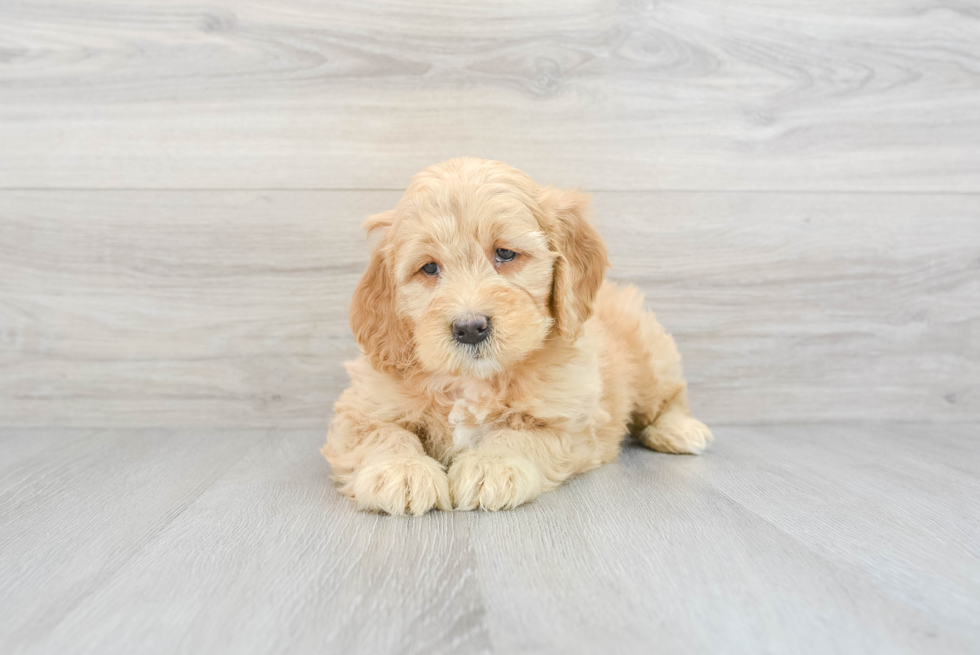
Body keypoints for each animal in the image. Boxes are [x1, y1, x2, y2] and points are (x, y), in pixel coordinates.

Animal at [322, 156, 712, 516]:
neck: (472, 381)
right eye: (429, 268)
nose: (470, 327)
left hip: (650, 357)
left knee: (669, 396)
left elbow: (519, 436)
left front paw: (491, 466)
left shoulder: (566, 422)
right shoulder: (360, 410)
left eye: (505, 253)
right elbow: (383, 433)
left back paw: (680, 430)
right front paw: (400, 470)